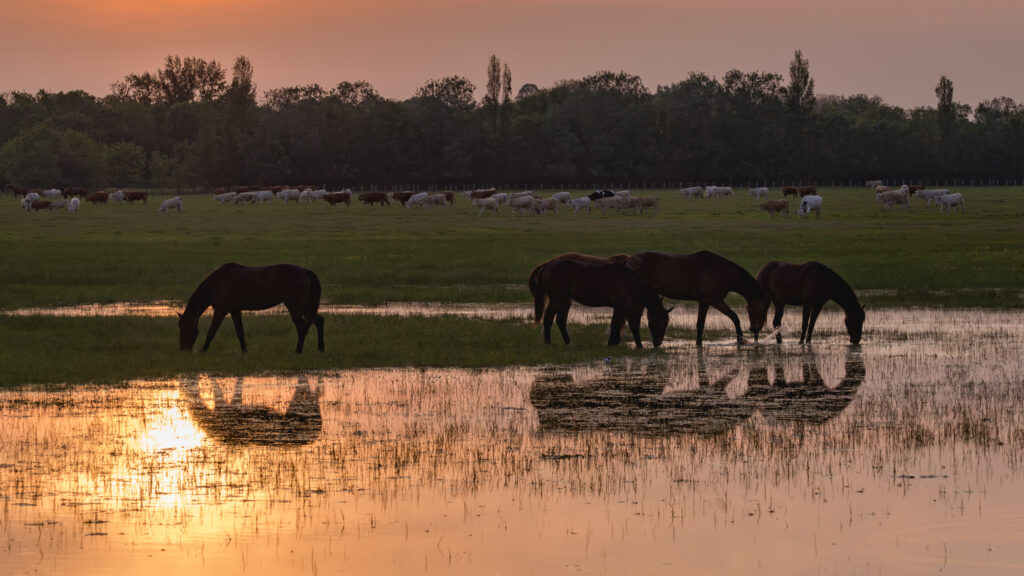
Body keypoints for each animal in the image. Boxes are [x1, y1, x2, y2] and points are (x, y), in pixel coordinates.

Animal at [178, 263, 325, 353]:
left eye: (183, 327)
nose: (184, 349)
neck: (218, 282)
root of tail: (305, 272)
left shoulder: (220, 311)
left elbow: (211, 332)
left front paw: (203, 350)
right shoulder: (234, 310)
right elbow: (240, 332)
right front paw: (245, 351)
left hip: (295, 306)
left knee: (302, 327)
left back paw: (298, 350)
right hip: (305, 307)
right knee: (318, 321)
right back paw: (321, 348)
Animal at [531, 260, 671, 348]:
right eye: (664, 322)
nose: (658, 343)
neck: (630, 280)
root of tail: (547, 266)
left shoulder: (619, 307)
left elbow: (615, 324)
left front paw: (611, 343)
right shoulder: (625, 305)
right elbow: (633, 325)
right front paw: (639, 346)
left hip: (565, 300)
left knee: (560, 320)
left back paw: (568, 343)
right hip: (557, 300)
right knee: (548, 319)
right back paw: (548, 343)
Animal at [625, 250, 770, 345]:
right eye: (762, 310)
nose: (755, 330)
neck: (722, 272)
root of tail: (629, 261)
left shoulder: (717, 300)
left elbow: (734, 317)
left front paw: (740, 340)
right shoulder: (705, 301)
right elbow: (700, 324)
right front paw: (698, 344)